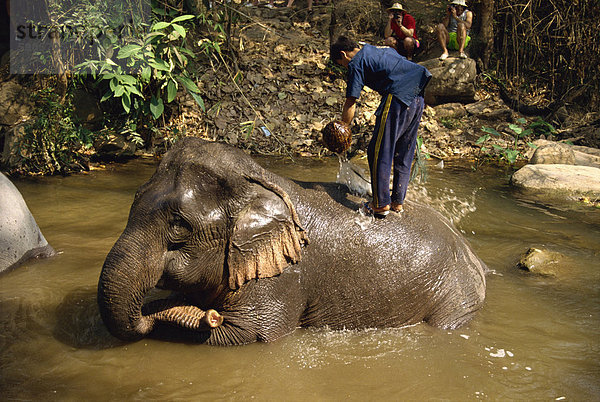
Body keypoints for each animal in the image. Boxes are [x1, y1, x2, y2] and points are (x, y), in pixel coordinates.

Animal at [97, 138, 482, 346]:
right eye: (134, 198)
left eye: (179, 225)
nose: (211, 315)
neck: (260, 180)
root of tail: (469, 250)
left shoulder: (283, 277)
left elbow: (250, 334)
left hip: (456, 295)